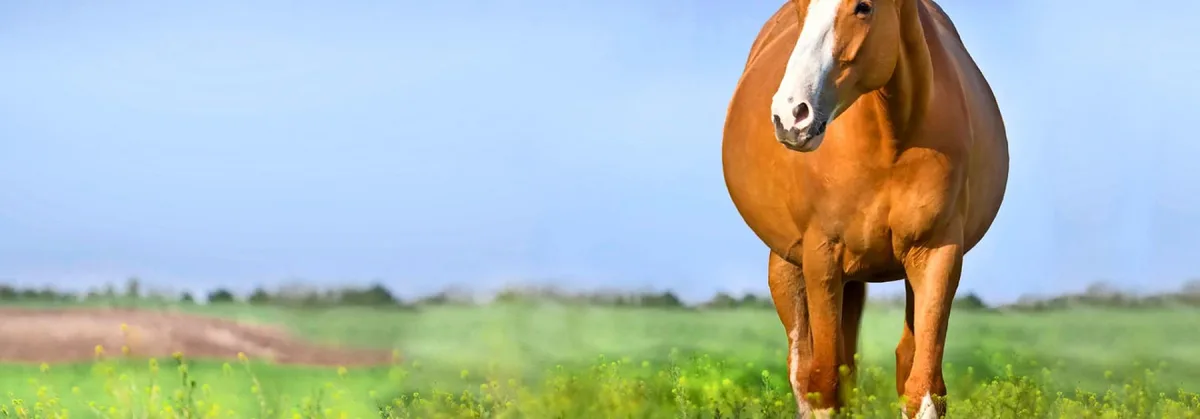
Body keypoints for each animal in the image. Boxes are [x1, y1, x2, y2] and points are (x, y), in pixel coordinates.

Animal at [721, 0, 1009, 417]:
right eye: (801, 7)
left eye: (863, 7)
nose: (791, 116)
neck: (889, 140)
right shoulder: (822, 257)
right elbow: (823, 386)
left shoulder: (937, 253)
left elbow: (922, 387)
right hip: (788, 268)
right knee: (803, 369)